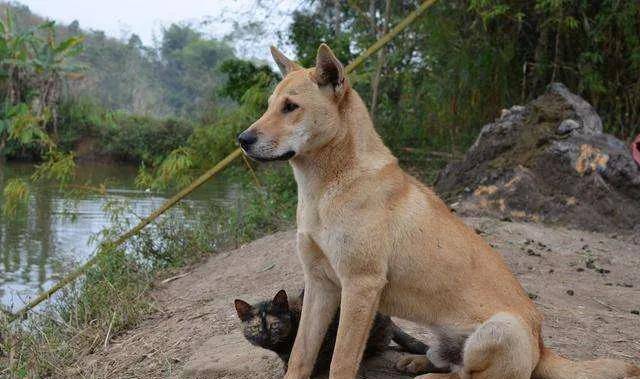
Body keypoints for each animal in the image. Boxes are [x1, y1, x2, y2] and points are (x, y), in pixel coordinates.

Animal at [236, 44, 640, 379]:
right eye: (269, 105)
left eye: (291, 107)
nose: (242, 140)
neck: (327, 188)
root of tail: (542, 347)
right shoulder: (320, 285)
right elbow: (301, 356)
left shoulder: (360, 286)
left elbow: (341, 362)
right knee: (447, 362)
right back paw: (416, 362)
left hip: (499, 330)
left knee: (467, 377)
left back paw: (427, 375)